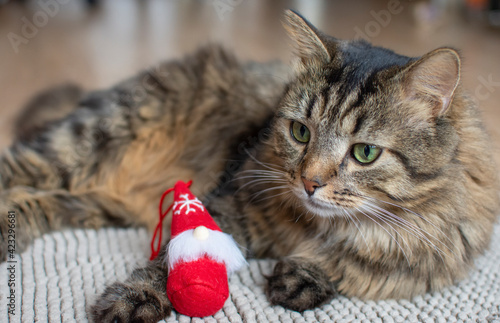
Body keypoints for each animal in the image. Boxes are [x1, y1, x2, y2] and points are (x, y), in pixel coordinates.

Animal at [0, 10, 498, 323]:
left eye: (364, 154)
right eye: (300, 132)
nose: (309, 182)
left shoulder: (414, 264)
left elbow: (344, 266)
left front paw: (303, 278)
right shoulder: (226, 205)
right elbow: (169, 265)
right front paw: (136, 299)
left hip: (98, 202)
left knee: (40, 203)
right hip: (83, 143)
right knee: (18, 169)